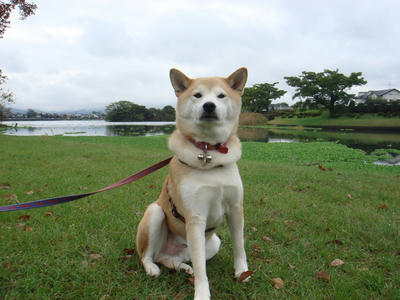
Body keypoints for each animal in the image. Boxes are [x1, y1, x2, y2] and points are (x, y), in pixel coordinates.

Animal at [138, 68, 250, 300]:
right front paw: (202, 293)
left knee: (170, 259)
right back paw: (152, 267)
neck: (209, 154)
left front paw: (242, 272)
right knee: (148, 256)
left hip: (213, 243)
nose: (209, 106)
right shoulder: (195, 217)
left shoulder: (236, 209)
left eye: (221, 96)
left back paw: (181, 267)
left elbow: (240, 246)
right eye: (197, 95)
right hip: (155, 213)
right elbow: (201, 269)